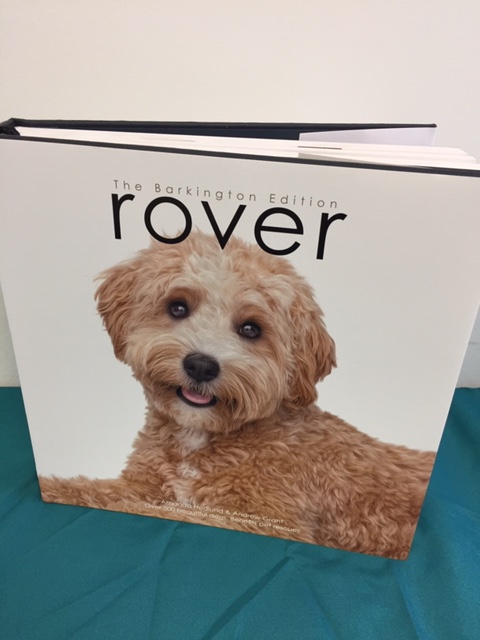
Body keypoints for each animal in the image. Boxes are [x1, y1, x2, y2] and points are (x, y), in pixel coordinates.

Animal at [40, 231, 435, 559]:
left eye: (251, 329)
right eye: (178, 307)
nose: (201, 365)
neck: (200, 438)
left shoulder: (264, 519)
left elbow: (148, 510)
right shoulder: (142, 482)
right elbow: (99, 491)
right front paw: (53, 486)